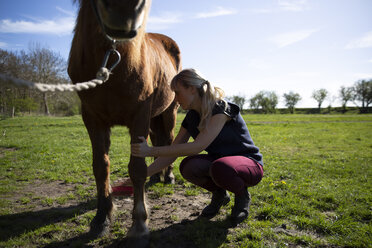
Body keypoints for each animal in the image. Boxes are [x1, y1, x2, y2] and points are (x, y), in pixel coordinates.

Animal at [68, 0, 182, 244]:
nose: (123, 12)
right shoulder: (92, 119)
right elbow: (101, 166)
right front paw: (101, 218)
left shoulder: (139, 116)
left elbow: (136, 168)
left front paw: (139, 223)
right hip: (154, 119)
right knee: (157, 143)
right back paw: (156, 175)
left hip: (169, 113)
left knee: (168, 141)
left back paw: (167, 176)